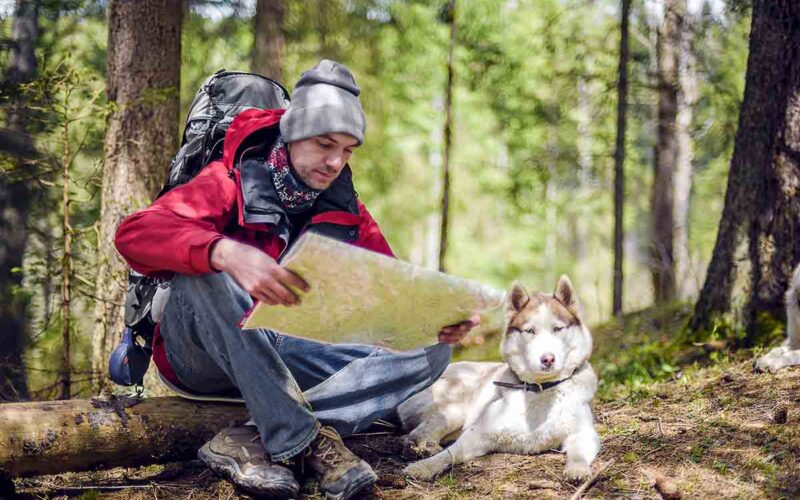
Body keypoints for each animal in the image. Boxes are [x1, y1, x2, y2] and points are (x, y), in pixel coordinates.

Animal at [404, 276, 596, 482]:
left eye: (557, 329)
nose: (547, 359)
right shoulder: (479, 433)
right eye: (530, 331)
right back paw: (423, 448)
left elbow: (579, 453)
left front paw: (577, 469)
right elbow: (448, 454)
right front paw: (424, 467)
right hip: (454, 408)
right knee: (420, 431)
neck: (540, 388)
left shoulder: (584, 433)